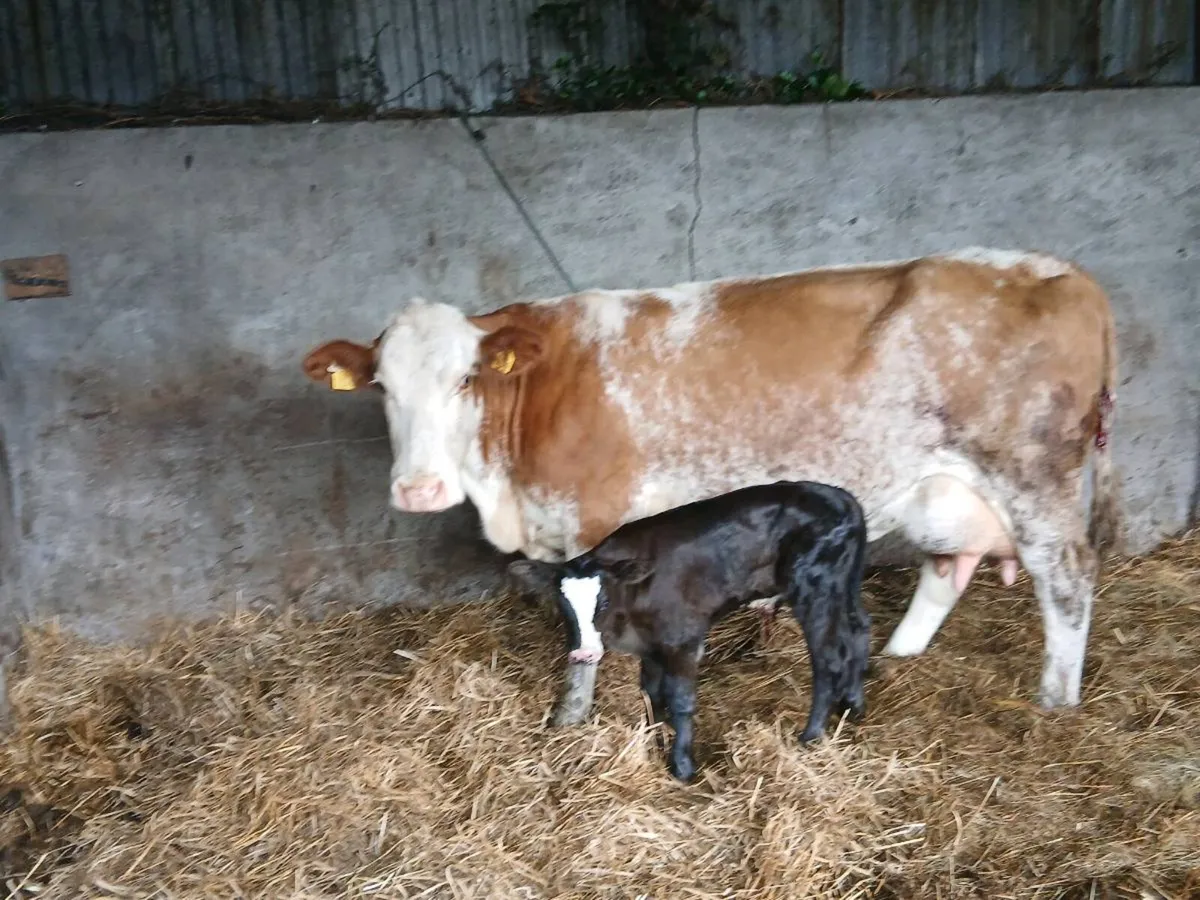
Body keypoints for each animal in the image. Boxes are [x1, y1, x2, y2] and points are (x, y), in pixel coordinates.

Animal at [302, 246, 1120, 726]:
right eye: (381, 387)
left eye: (466, 378)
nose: (419, 489)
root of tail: (1060, 271)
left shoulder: (595, 523)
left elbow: (590, 634)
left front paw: (582, 722)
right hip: (946, 490)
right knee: (947, 569)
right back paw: (895, 658)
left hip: (1034, 472)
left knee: (1069, 578)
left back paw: (1055, 702)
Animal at [507, 480, 871, 782]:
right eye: (562, 603)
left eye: (604, 600)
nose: (584, 654)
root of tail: (842, 498)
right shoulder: (651, 648)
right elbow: (651, 696)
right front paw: (654, 741)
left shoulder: (683, 640)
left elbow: (680, 700)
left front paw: (681, 766)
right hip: (845, 585)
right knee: (859, 630)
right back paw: (853, 704)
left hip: (815, 590)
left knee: (828, 659)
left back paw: (811, 736)